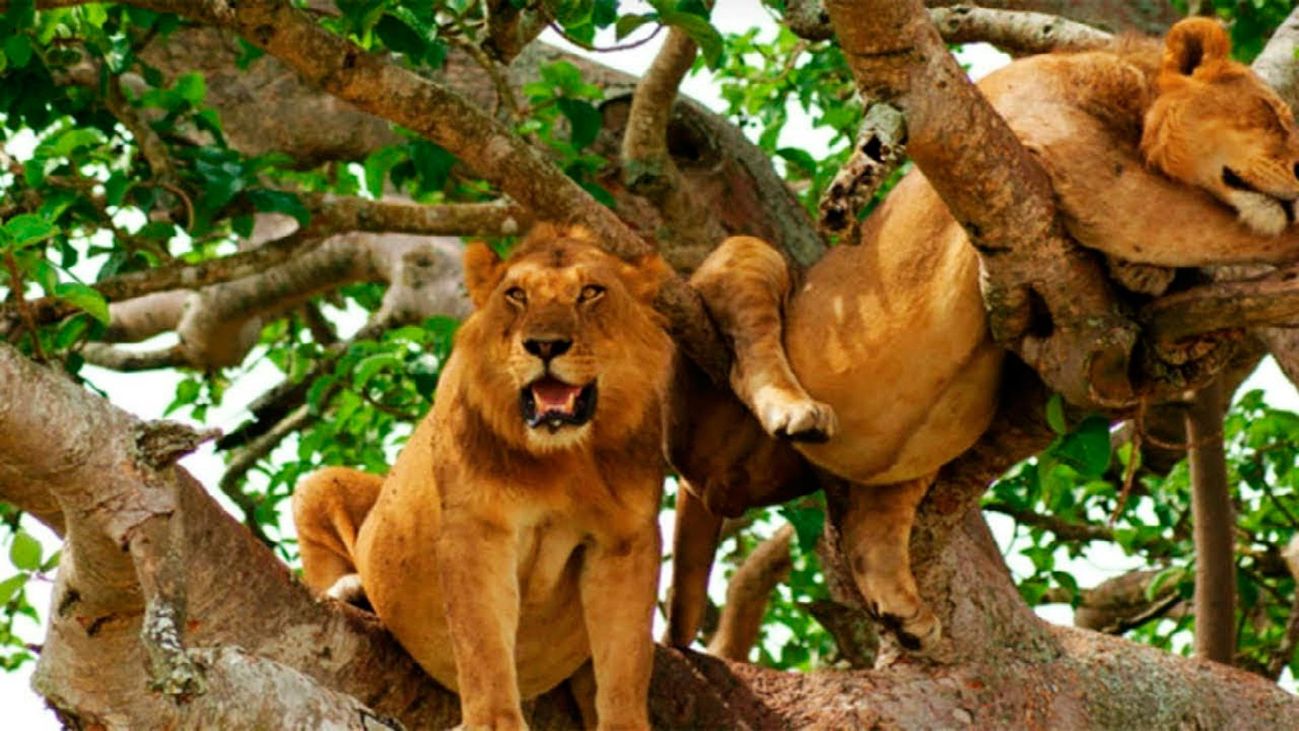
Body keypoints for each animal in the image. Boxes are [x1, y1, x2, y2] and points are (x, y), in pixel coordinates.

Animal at [292, 224, 674, 730]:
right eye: (516, 295)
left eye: (591, 292)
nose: (545, 345)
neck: (565, 457)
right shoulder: (477, 527)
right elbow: (482, 643)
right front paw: (493, 721)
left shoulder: (625, 540)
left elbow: (625, 660)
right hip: (318, 484)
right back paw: (351, 589)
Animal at [666, 18, 1299, 653]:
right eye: (1273, 114)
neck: (1134, 99)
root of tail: (712, 487)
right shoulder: (1067, 151)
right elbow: (1207, 225)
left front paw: (1142, 274)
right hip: (749, 266)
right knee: (749, 347)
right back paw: (793, 410)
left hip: (905, 458)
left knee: (874, 514)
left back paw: (900, 607)